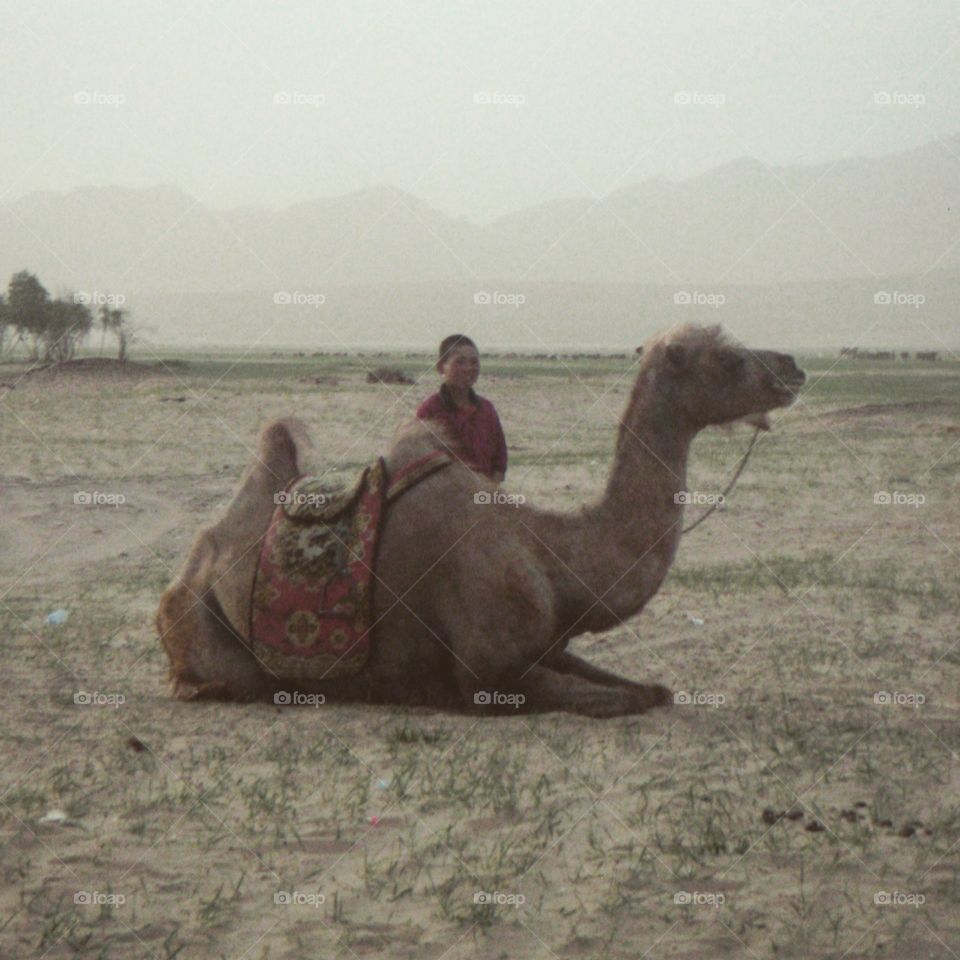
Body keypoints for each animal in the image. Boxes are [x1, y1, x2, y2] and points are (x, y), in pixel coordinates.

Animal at [156, 324, 805, 718]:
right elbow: (625, 700)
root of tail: (188, 569)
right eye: (728, 355)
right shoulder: (489, 675)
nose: (794, 367)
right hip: (209, 633)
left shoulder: (549, 644)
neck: (553, 555)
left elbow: (652, 689)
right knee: (225, 680)